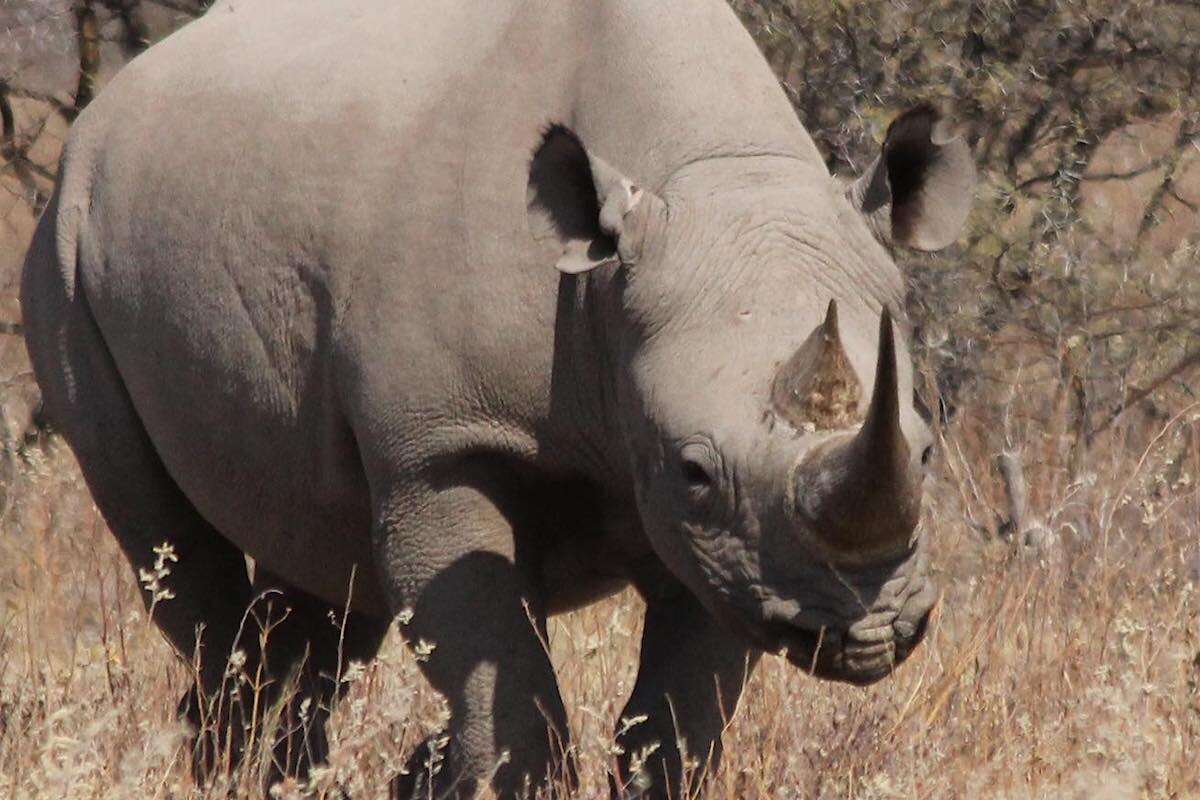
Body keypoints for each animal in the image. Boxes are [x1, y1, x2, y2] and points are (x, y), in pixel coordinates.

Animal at [20, 0, 975, 796]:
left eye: (925, 450)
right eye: (695, 469)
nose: (866, 632)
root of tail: (112, 103)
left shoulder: (739, 551)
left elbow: (678, 723)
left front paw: (431, 775)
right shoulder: (443, 447)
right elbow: (506, 683)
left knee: (320, 566)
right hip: (65, 242)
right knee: (172, 545)